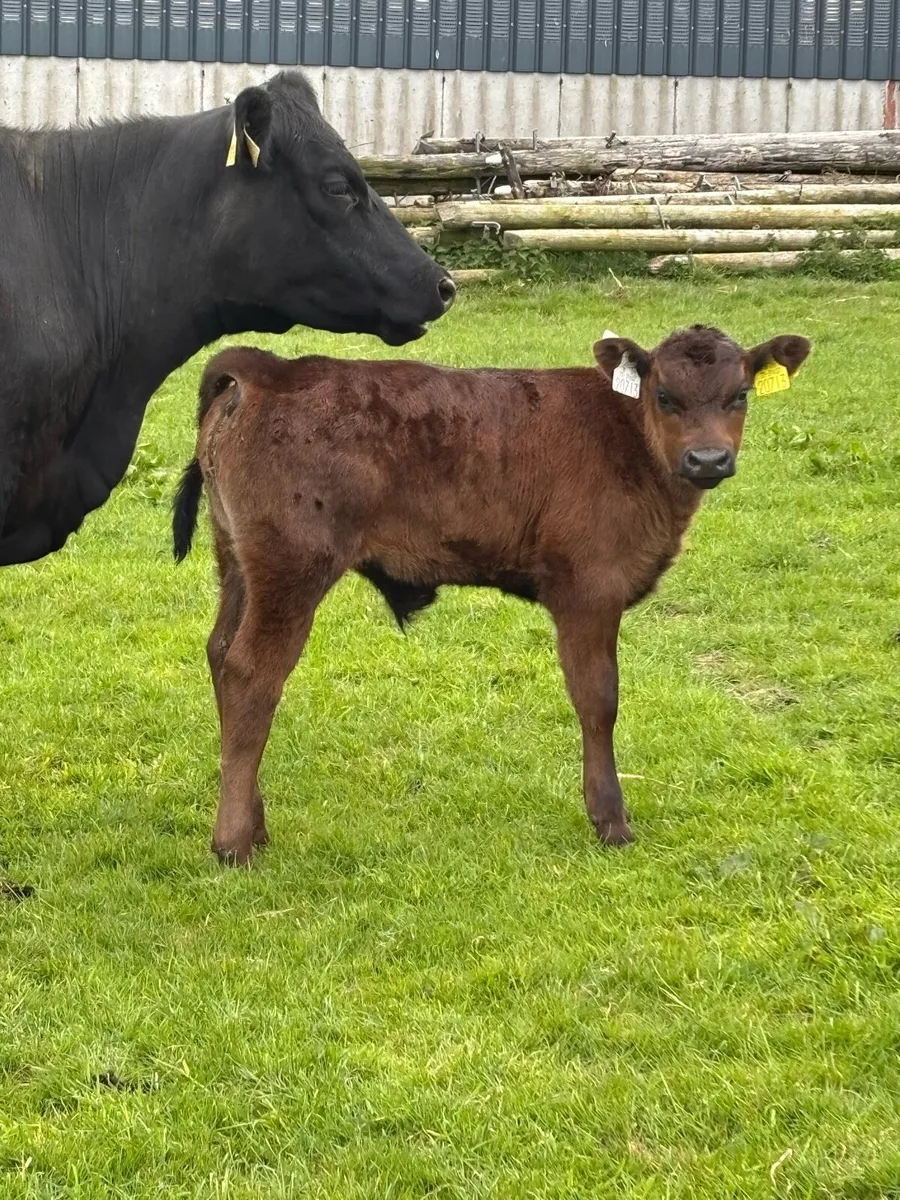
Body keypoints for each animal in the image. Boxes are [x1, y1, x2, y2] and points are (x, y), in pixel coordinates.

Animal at [173, 325, 811, 864]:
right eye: (665, 396)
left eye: (740, 396)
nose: (708, 458)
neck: (630, 439)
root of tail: (270, 367)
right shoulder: (589, 589)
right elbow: (598, 698)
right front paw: (610, 820)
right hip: (292, 568)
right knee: (252, 672)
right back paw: (234, 842)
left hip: (236, 562)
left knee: (220, 652)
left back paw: (253, 820)